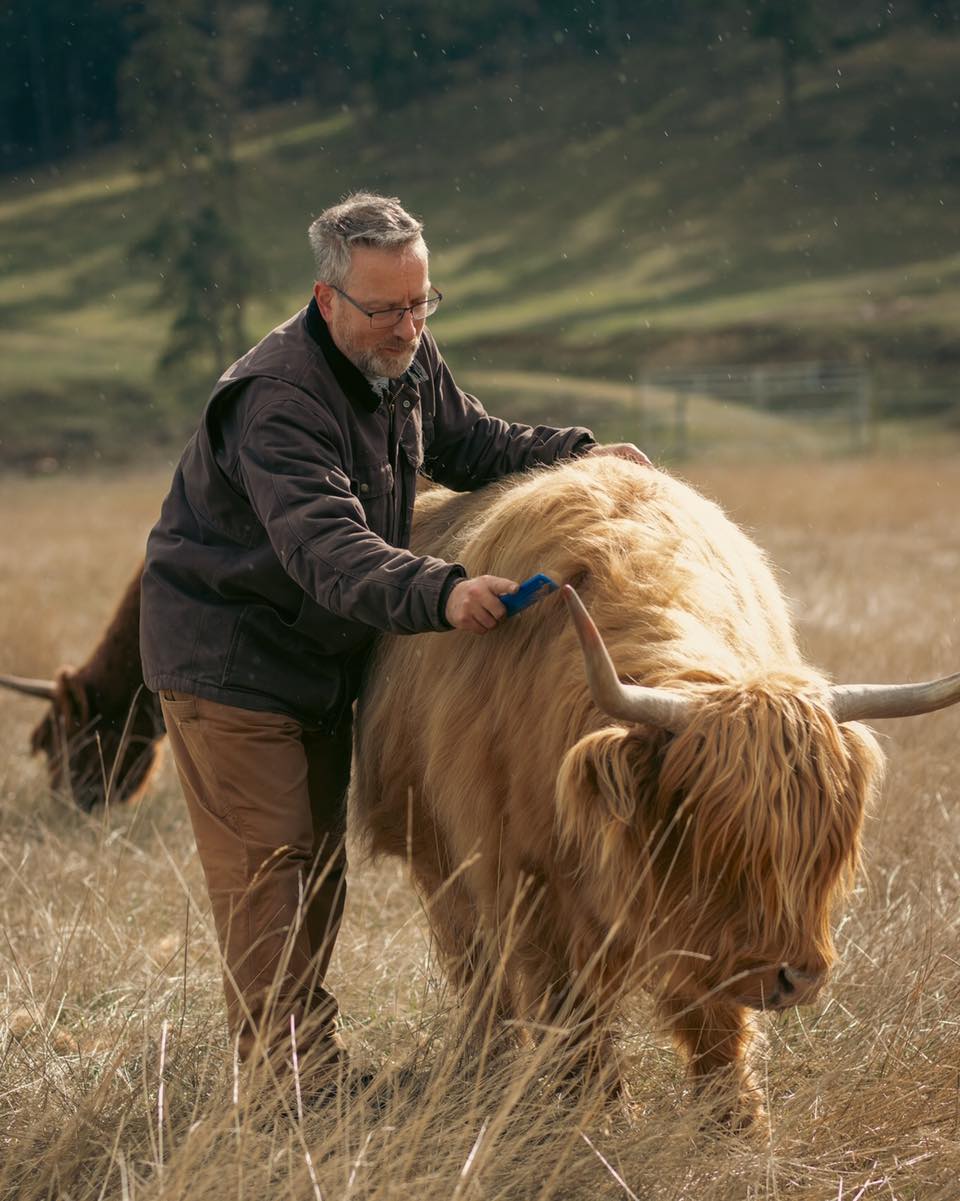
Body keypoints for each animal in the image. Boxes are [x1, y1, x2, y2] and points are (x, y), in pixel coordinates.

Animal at [353, 457, 960, 1122]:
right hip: (441, 860)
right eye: (717, 837)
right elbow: (572, 1007)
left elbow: (715, 1013)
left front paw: (736, 1119)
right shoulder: (528, 881)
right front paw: (596, 1113)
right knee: (482, 975)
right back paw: (490, 1067)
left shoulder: (697, 927)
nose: (795, 979)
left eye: (823, 850)